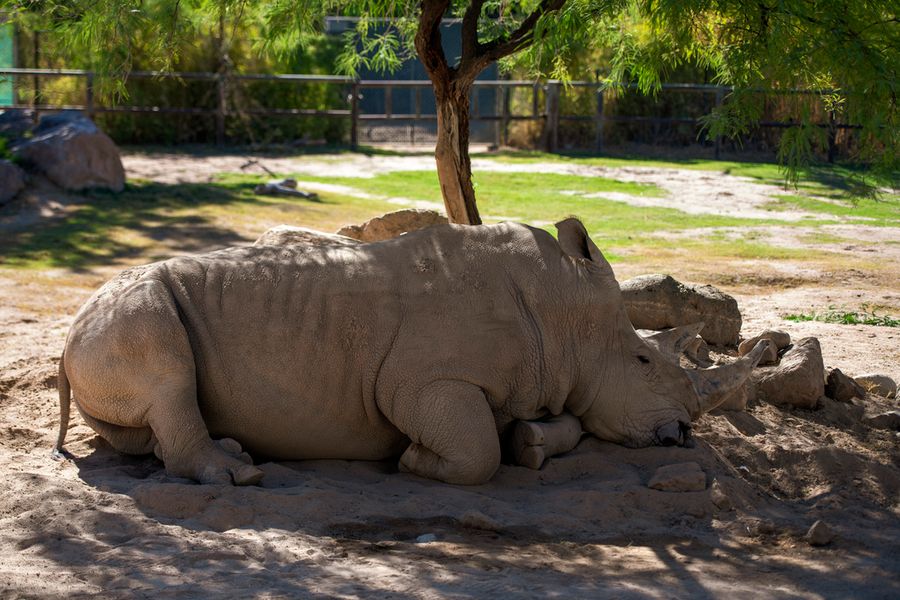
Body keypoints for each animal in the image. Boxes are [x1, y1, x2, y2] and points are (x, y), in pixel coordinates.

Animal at [56, 218, 768, 486]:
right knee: (165, 371)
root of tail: (63, 341)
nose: (683, 432)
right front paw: (413, 460)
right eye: (644, 364)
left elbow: (550, 425)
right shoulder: (425, 381)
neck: (564, 318)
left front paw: (532, 443)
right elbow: (476, 453)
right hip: (127, 312)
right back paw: (238, 473)